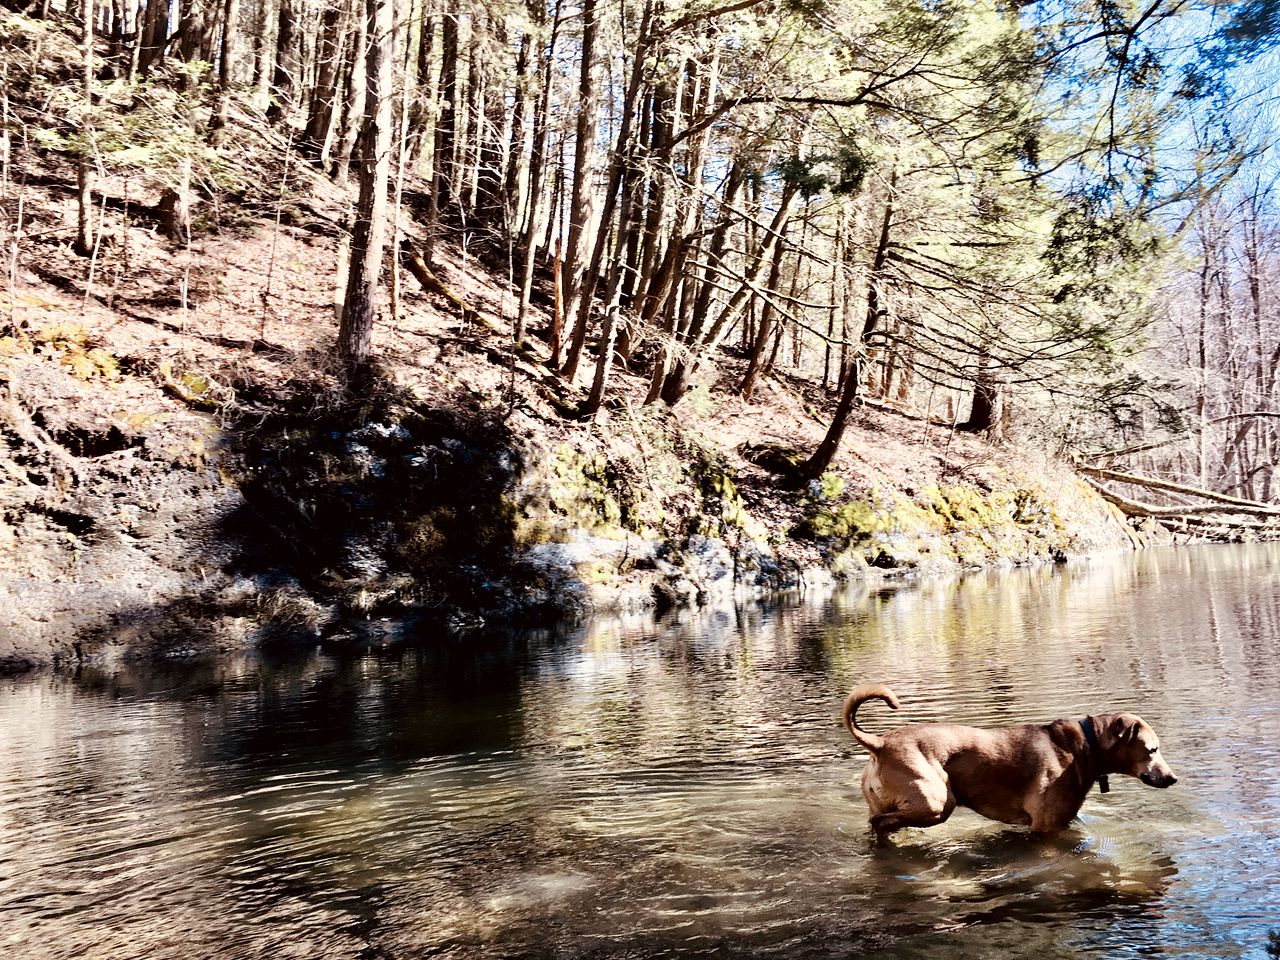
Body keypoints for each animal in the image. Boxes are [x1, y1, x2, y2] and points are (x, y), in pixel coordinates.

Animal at [844, 686, 1172, 834]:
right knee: (880, 821)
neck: (1083, 746)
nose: (1172, 778)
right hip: (937, 803)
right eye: (1152, 750)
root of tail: (881, 743)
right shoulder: (1045, 828)